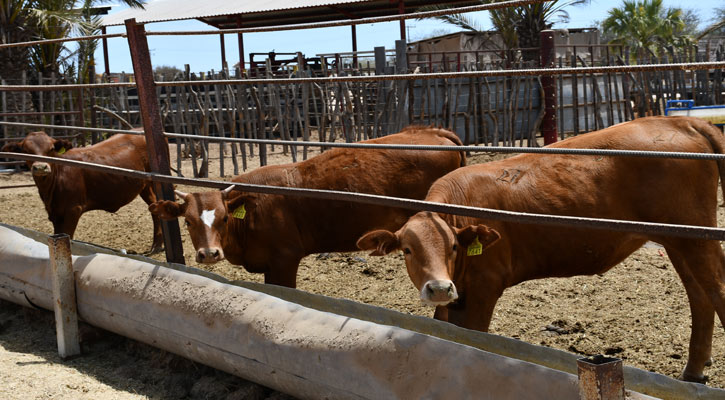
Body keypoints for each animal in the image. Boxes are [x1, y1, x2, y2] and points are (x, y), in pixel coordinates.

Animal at [2, 130, 163, 253]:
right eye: (26, 151)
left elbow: (69, 237)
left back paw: (156, 246)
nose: (41, 167)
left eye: (51, 149)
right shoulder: (56, 213)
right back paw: (157, 245)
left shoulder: (73, 210)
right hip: (145, 187)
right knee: (154, 206)